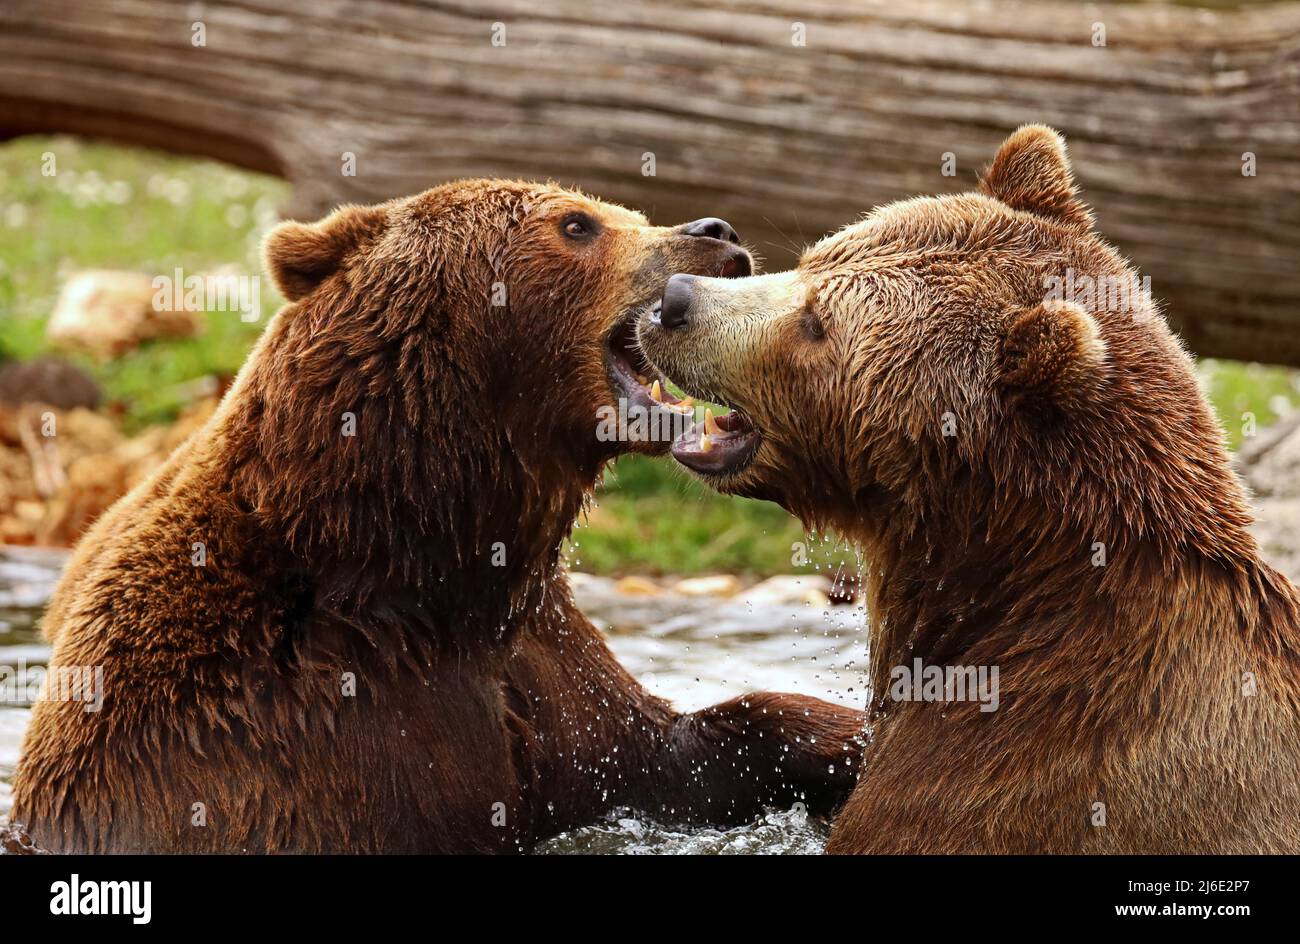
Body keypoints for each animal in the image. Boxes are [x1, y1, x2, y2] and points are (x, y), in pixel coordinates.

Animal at [12, 180, 863, 852]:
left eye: (616, 209)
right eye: (576, 223)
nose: (717, 234)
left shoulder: (539, 658)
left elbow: (674, 749)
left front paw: (852, 743)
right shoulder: (262, 743)